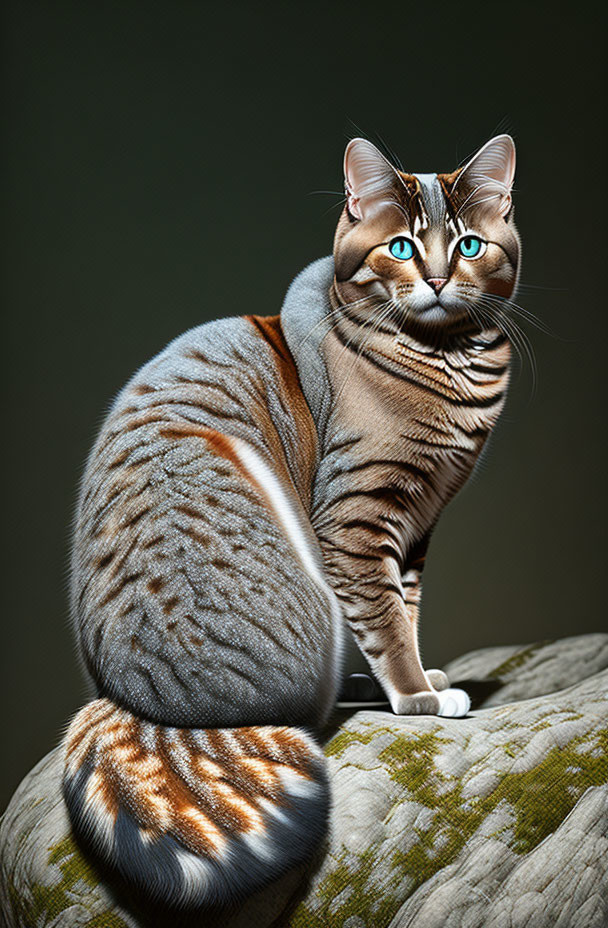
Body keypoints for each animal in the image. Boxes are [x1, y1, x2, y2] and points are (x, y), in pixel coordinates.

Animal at [60, 134, 516, 908]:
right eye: (400, 246)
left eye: (470, 245)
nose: (433, 279)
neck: (449, 362)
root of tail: (136, 702)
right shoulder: (358, 518)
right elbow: (386, 621)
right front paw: (418, 696)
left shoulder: (416, 529)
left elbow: (405, 612)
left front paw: (418, 678)